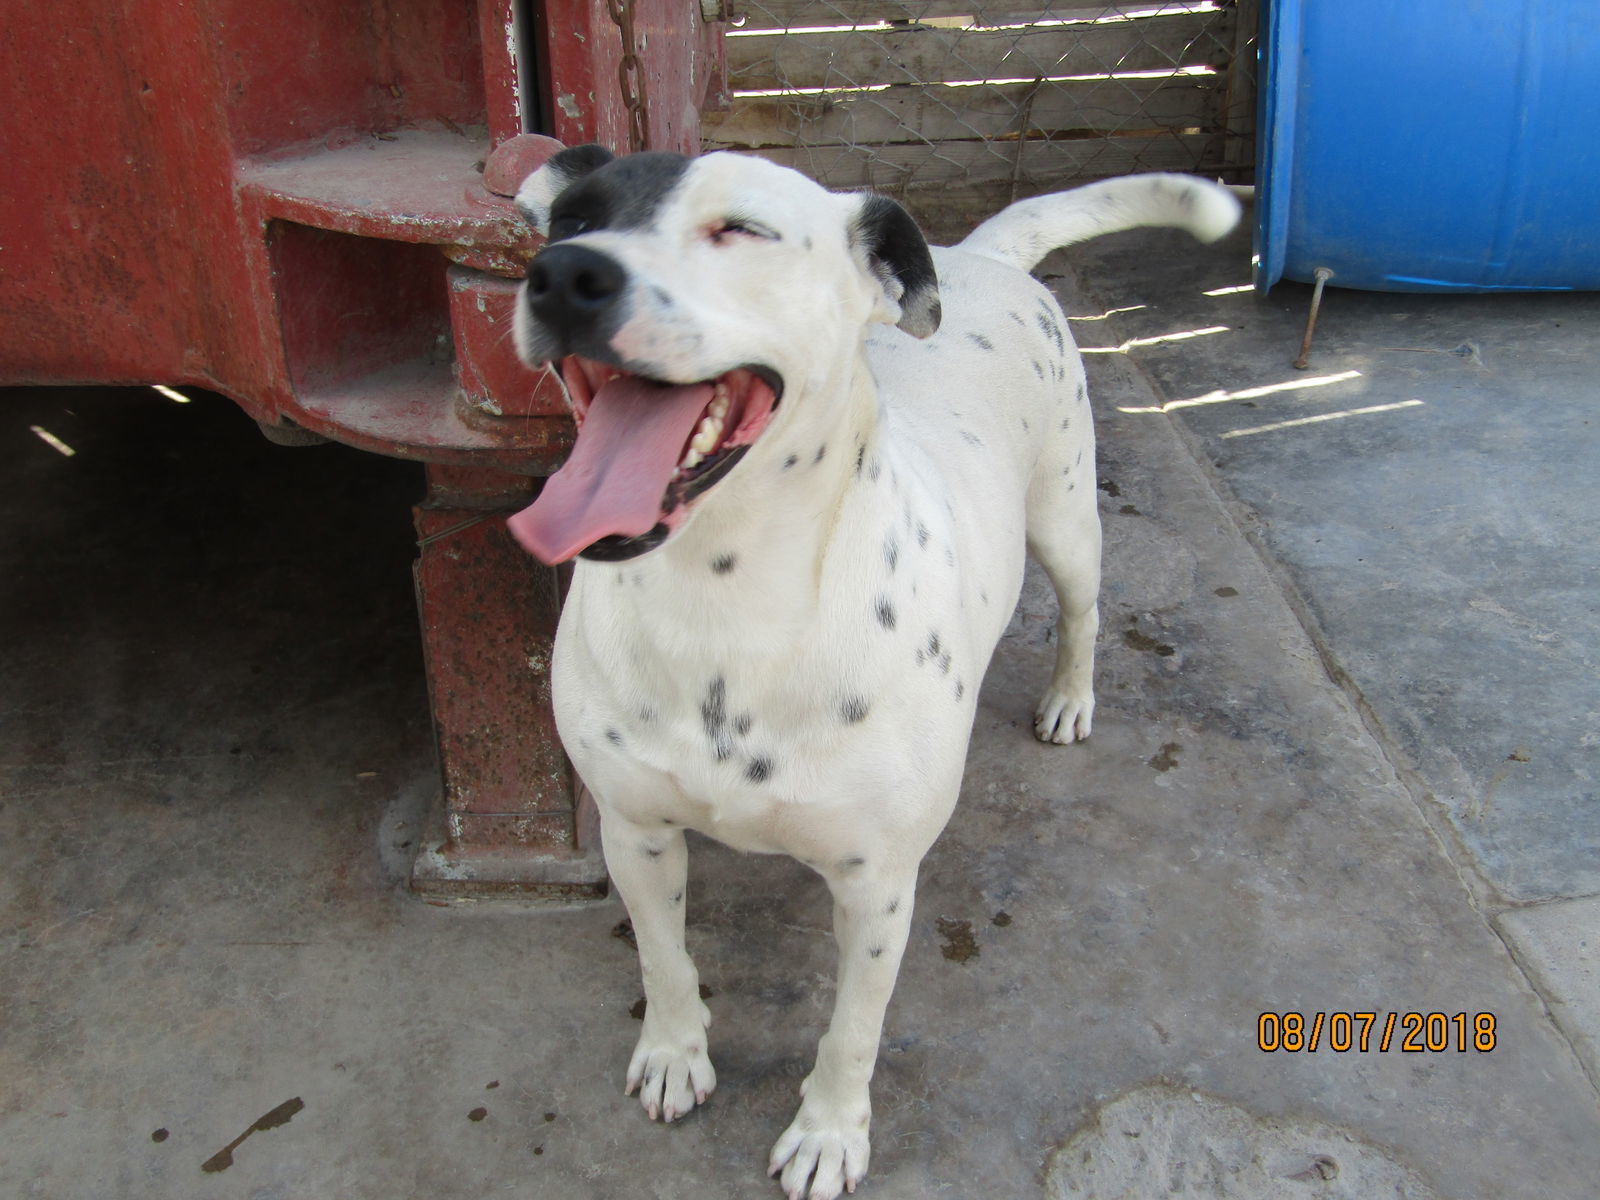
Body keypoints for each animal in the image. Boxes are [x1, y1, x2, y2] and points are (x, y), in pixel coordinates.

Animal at [508, 150, 1235, 1200]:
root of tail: (980, 254)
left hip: (1066, 521)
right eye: (569, 217)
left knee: (1085, 610)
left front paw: (828, 1133)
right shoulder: (634, 831)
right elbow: (663, 959)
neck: (729, 602)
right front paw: (676, 1051)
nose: (564, 274)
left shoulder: (878, 886)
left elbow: (852, 1028)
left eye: (741, 230)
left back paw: (1070, 697)